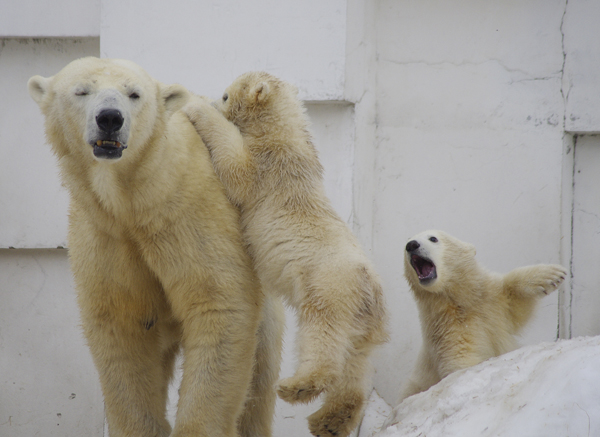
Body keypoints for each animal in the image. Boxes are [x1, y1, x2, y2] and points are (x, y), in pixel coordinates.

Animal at [25, 56, 284, 434]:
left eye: (134, 94)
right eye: (81, 91)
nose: (110, 118)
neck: (136, 199)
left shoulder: (190, 216)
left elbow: (219, 305)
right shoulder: (105, 235)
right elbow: (121, 326)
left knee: (260, 376)